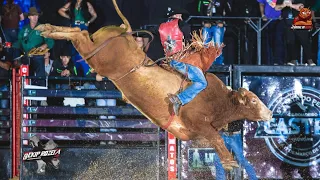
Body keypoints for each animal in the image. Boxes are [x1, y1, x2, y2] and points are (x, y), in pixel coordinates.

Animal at [35, 0, 272, 169]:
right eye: (253, 100)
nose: (269, 114)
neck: (219, 101)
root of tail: (125, 32)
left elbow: (215, 139)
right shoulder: (198, 121)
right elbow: (217, 139)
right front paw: (229, 162)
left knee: (81, 33)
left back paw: (45, 31)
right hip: (98, 57)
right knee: (81, 33)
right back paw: (45, 32)